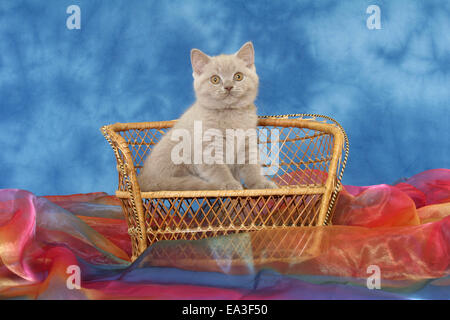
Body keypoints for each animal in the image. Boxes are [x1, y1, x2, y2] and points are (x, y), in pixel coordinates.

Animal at [137, 41, 278, 191]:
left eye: (238, 76)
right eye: (215, 79)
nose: (228, 87)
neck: (230, 114)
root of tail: (142, 179)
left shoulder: (247, 143)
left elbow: (252, 167)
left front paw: (261, 183)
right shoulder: (207, 148)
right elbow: (219, 170)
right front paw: (229, 184)